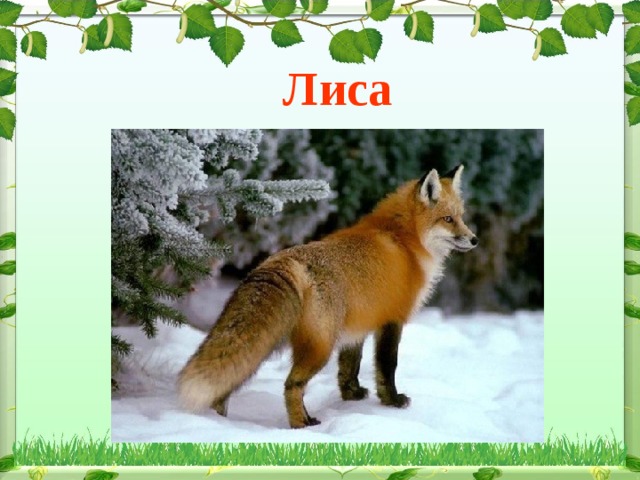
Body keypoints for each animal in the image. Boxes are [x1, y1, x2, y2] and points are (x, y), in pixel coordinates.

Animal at [178, 165, 478, 428]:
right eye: (448, 219)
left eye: (462, 217)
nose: (474, 239)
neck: (404, 240)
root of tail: (281, 260)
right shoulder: (392, 319)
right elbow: (387, 366)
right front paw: (392, 401)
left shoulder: (358, 325)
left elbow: (349, 367)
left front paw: (351, 396)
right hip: (320, 346)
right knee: (291, 385)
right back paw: (301, 425)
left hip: (272, 344)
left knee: (230, 383)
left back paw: (219, 422)